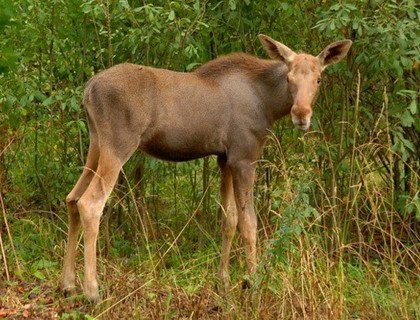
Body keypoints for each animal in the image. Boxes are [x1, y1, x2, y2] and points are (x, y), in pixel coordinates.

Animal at [62, 33, 352, 302]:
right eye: (289, 79)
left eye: (318, 79)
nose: (301, 114)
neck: (268, 103)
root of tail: (88, 90)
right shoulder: (243, 157)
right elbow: (249, 223)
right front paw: (253, 284)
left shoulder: (224, 158)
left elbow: (228, 220)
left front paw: (223, 284)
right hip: (118, 145)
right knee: (91, 203)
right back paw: (92, 290)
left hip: (96, 143)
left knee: (72, 198)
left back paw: (68, 284)